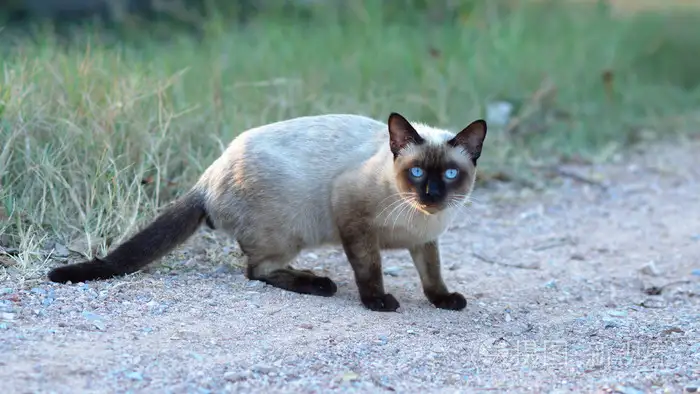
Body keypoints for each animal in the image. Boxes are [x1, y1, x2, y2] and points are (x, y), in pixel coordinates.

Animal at [47, 112, 486, 312]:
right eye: (416, 172)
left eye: (450, 174)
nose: (431, 194)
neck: (419, 216)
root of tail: (209, 175)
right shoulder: (352, 218)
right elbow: (370, 270)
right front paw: (378, 302)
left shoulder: (425, 240)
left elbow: (432, 274)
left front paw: (443, 300)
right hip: (291, 230)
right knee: (256, 270)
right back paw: (318, 283)